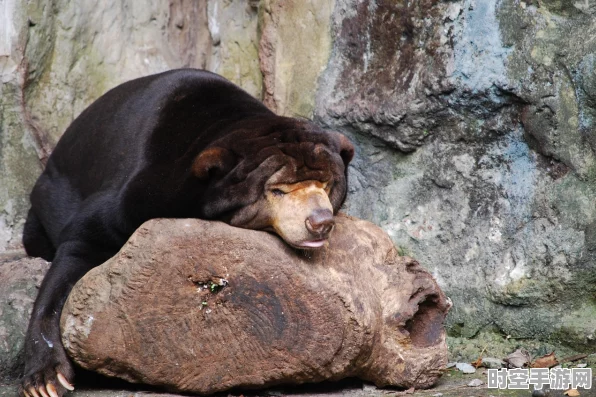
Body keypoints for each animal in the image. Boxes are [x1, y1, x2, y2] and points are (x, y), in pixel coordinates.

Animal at [19, 69, 354, 396]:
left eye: (326, 183)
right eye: (278, 190)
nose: (320, 222)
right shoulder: (135, 190)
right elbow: (81, 243)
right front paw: (46, 380)